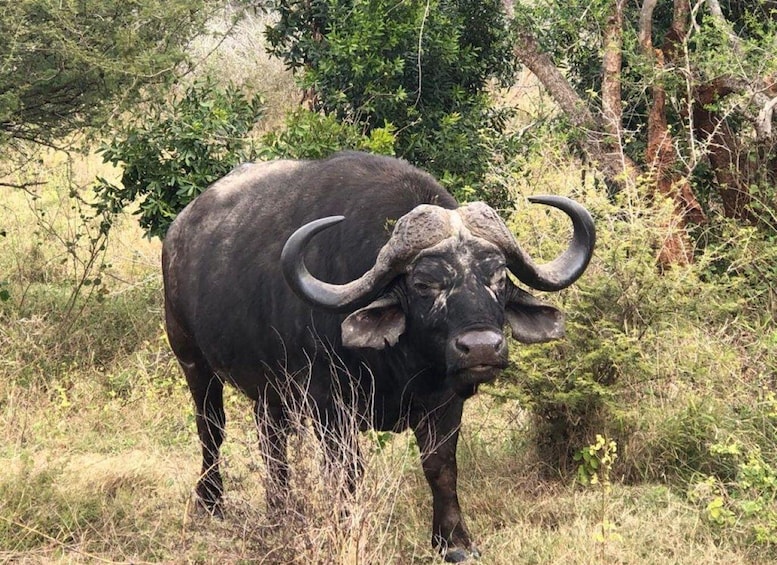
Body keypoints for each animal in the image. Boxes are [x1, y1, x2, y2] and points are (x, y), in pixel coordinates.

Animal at [164, 150, 596, 560]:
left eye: (500, 278)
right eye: (423, 284)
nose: (481, 347)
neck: (402, 365)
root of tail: (178, 232)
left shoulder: (445, 401)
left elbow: (441, 466)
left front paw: (454, 542)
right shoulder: (330, 406)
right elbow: (346, 473)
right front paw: (344, 531)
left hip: (269, 391)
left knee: (272, 443)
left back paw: (281, 510)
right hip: (193, 361)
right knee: (211, 429)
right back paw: (211, 501)